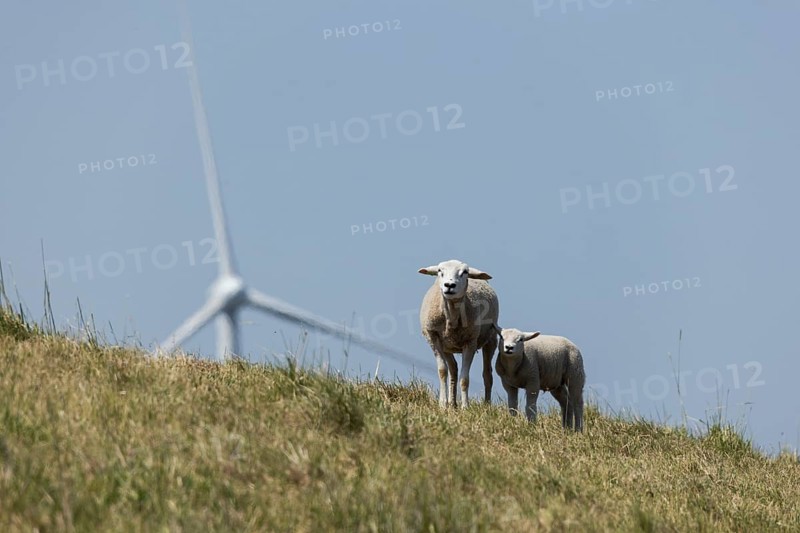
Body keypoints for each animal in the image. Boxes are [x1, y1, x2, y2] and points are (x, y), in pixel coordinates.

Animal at [418, 259, 499, 409]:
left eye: (465, 272)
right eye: (439, 271)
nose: (449, 285)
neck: (451, 316)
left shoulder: (470, 342)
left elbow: (464, 378)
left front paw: (465, 406)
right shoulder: (434, 338)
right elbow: (443, 371)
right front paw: (443, 404)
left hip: (491, 339)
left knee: (487, 374)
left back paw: (486, 404)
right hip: (447, 346)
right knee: (453, 369)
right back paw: (452, 403)